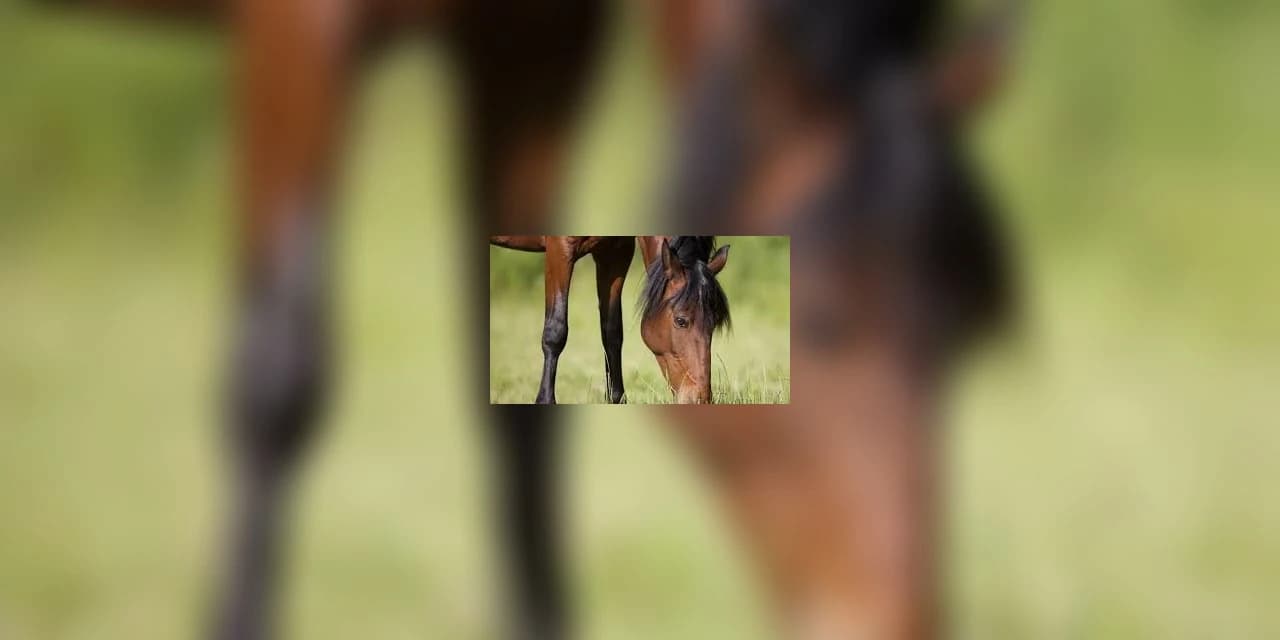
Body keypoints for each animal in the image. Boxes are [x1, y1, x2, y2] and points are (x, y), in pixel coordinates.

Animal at [490, 235, 730, 404]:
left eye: (714, 324)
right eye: (681, 320)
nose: (700, 398)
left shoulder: (614, 254)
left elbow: (612, 333)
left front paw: (617, 399)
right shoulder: (560, 248)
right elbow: (556, 332)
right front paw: (545, 400)